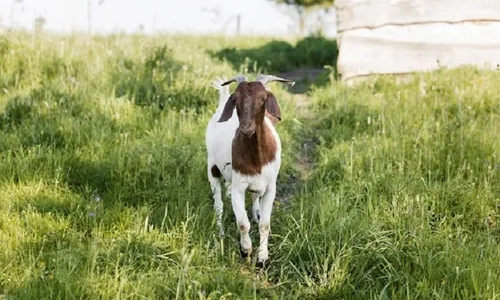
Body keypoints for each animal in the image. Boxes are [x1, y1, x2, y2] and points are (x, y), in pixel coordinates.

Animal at [206, 74, 294, 266]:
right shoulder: (238, 187)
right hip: (212, 166)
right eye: (236, 99)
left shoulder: (270, 187)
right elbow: (242, 223)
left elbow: (265, 224)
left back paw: (255, 214)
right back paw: (220, 232)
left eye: (262, 99)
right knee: (218, 203)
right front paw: (246, 250)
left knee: (254, 197)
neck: (257, 157)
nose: (246, 128)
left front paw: (263, 257)